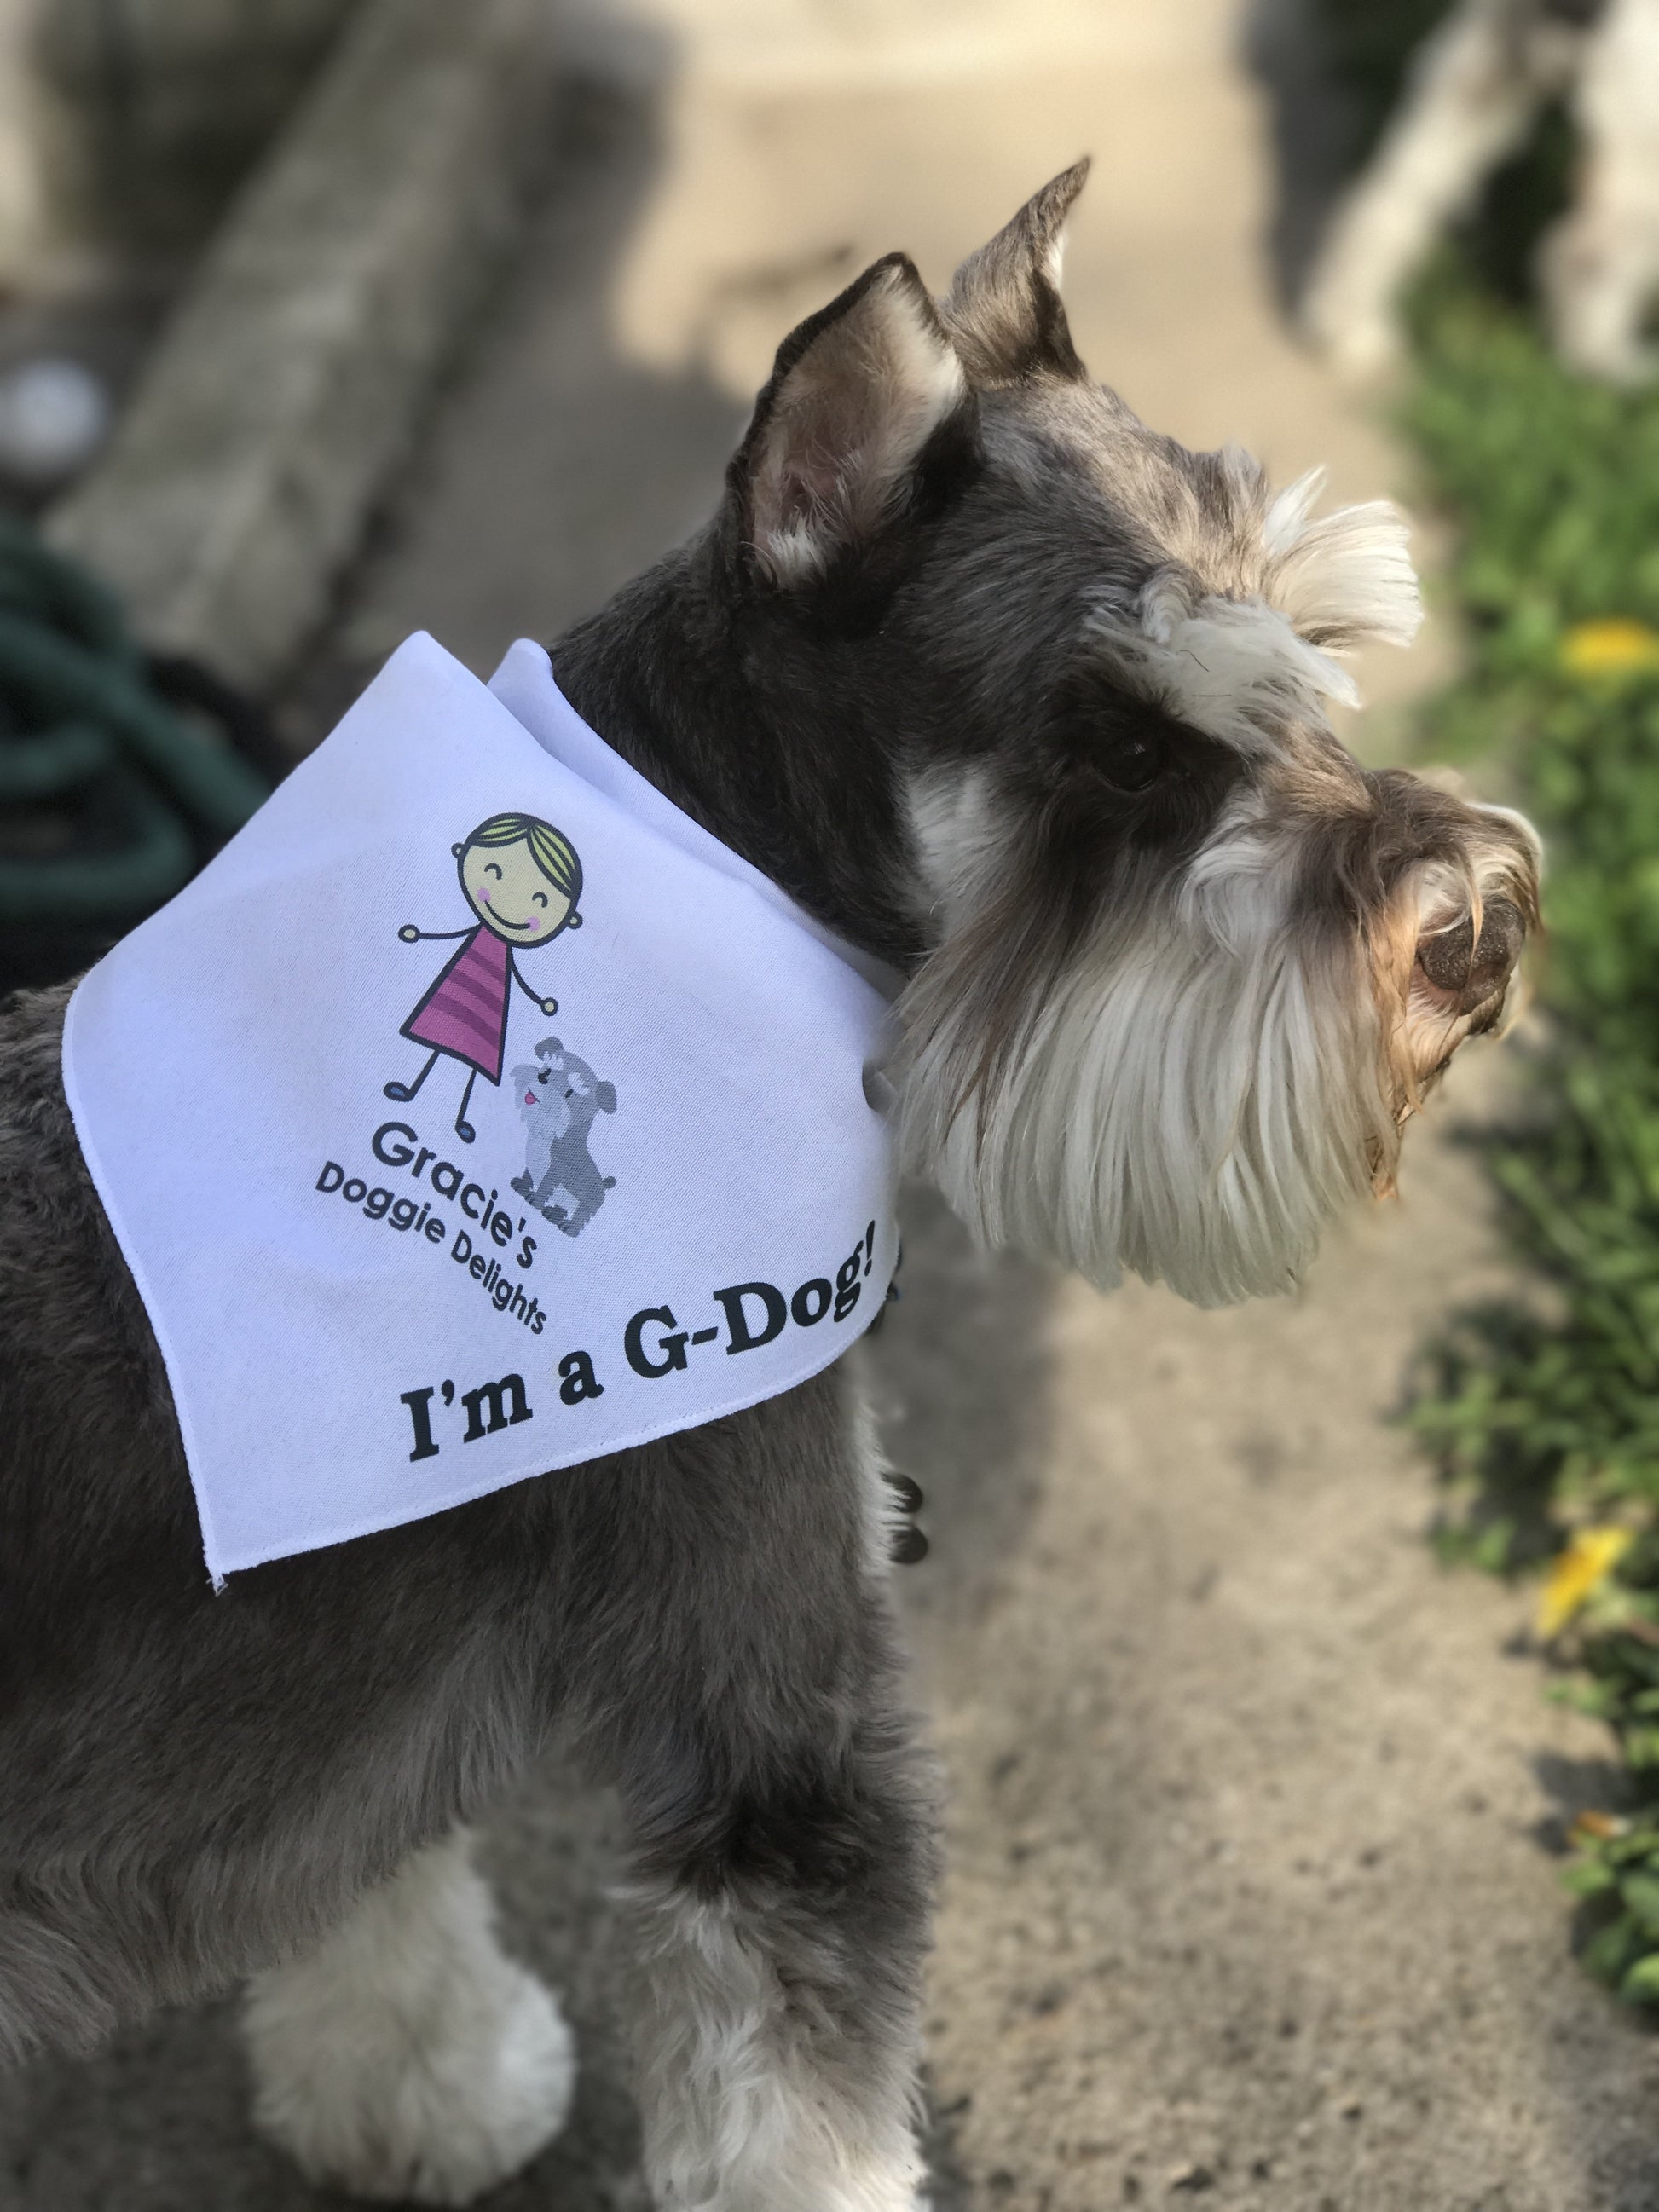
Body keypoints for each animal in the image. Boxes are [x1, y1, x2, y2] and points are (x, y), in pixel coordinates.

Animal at [511, 1031, 619, 1239]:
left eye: (570, 1093)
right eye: (546, 1071)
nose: (542, 1079)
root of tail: (602, 1185)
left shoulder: (556, 1170)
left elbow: (545, 1186)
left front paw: (534, 1199)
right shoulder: (533, 1162)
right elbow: (528, 1175)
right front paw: (522, 1185)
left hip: (586, 1203)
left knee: (580, 1217)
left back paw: (567, 1226)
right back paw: (552, 1213)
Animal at [1300, 0, 1659, 380]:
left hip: (1470, 91)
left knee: (1388, 202)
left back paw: (1350, 330)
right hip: (1638, 154)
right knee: (1583, 260)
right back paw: (1608, 366)